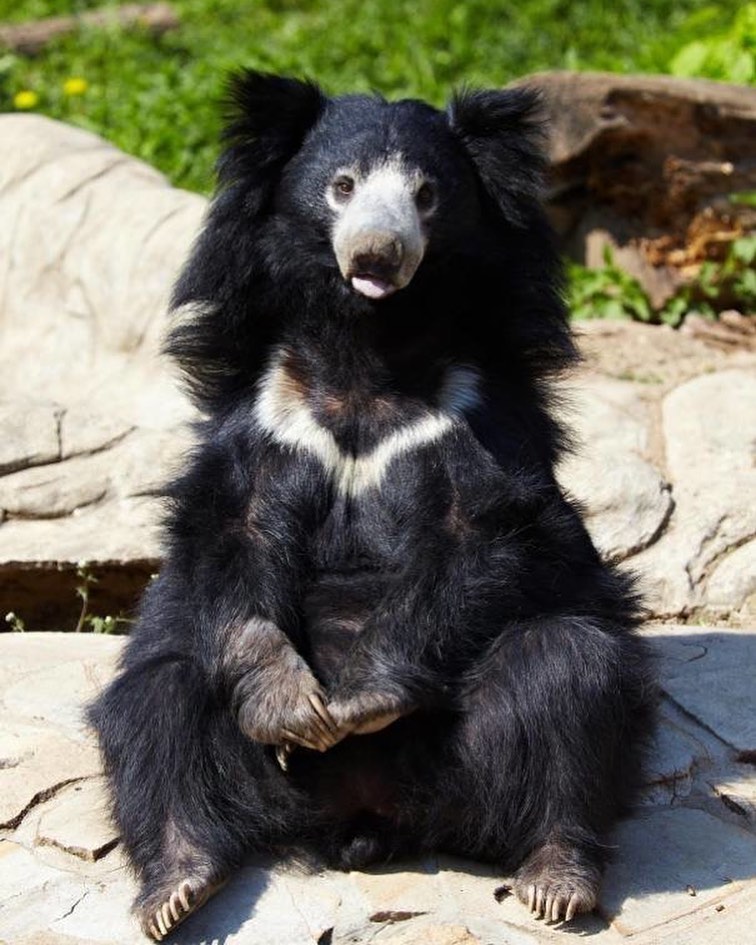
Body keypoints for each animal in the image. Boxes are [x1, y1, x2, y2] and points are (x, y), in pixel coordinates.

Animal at [87, 72, 656, 936]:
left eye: (426, 194)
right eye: (342, 185)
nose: (377, 254)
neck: (367, 348)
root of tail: (365, 821)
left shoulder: (477, 410)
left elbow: (485, 540)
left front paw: (355, 698)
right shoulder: (268, 410)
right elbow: (228, 533)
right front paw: (295, 707)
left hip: (469, 767)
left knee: (568, 674)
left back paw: (556, 878)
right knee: (158, 698)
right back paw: (176, 885)